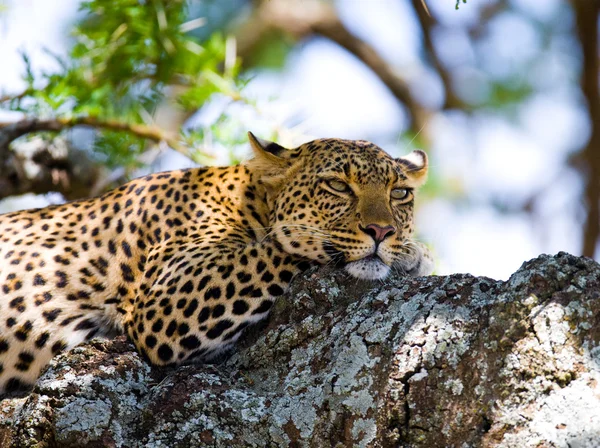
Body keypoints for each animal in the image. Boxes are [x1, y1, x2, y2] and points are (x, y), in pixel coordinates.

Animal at [0, 133, 432, 392]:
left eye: (400, 193)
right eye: (338, 186)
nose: (382, 231)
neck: (249, 198)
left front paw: (409, 253)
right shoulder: (166, 299)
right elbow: (279, 246)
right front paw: (414, 254)